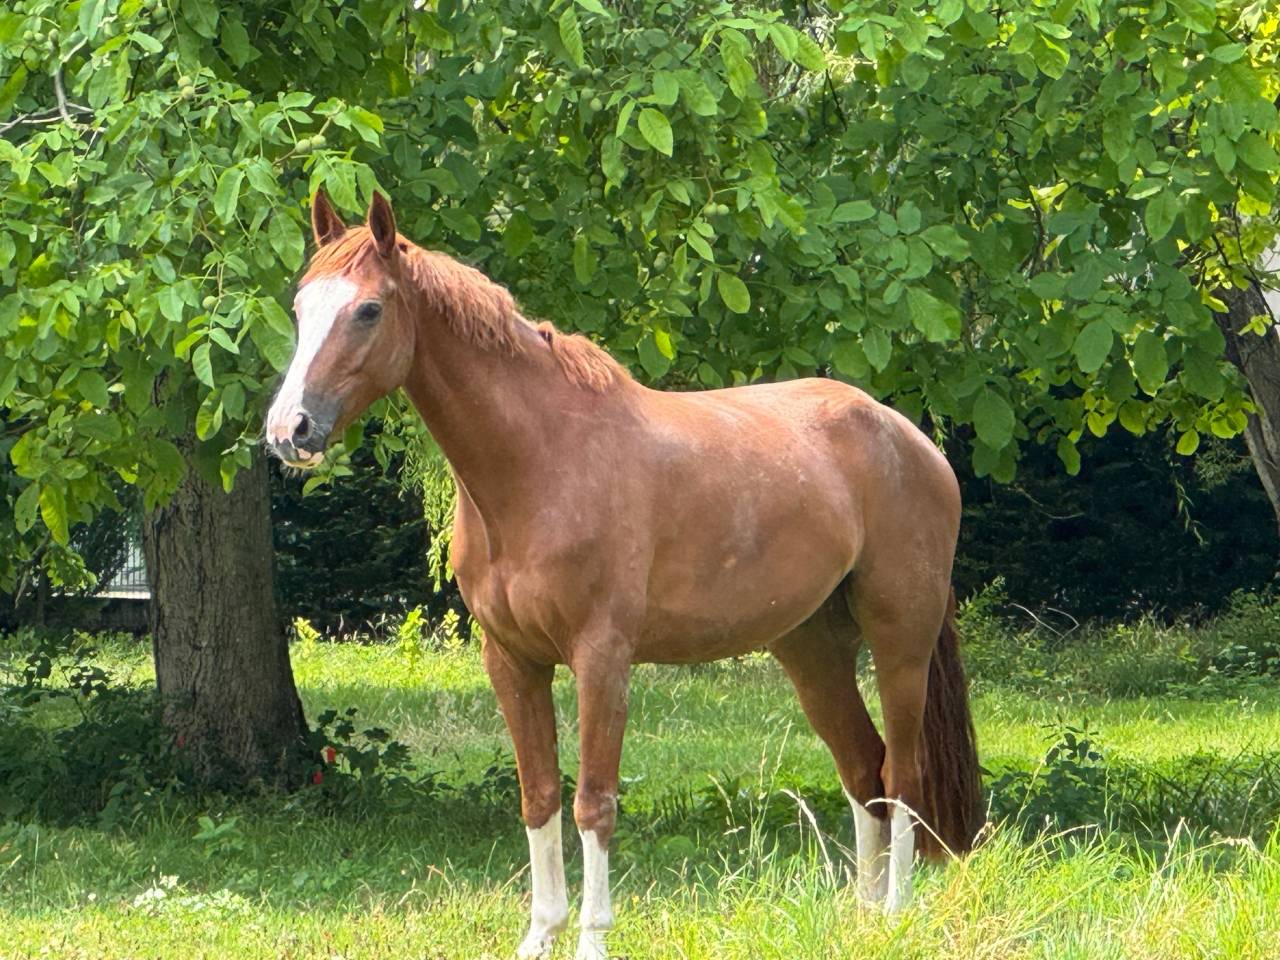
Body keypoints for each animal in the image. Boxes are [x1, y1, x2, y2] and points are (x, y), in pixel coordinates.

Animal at [265, 191, 982, 960]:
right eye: (301, 306)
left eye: (368, 309)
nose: (290, 431)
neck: (542, 462)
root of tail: (910, 440)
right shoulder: (510, 660)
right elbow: (539, 796)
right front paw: (540, 936)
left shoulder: (601, 658)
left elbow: (594, 803)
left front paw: (590, 940)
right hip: (811, 648)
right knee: (862, 767)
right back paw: (862, 915)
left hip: (899, 642)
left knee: (901, 772)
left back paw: (896, 914)